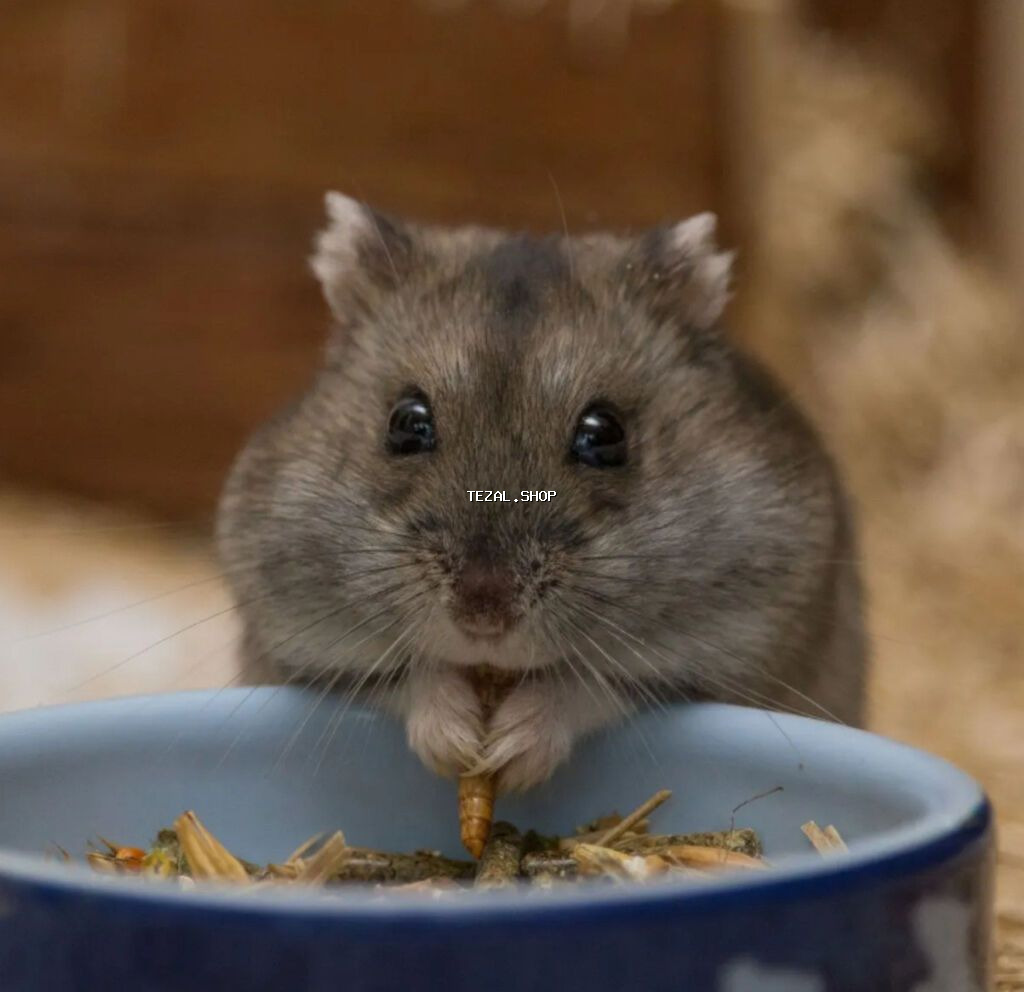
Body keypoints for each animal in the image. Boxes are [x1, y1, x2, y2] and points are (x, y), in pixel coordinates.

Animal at [216, 192, 867, 793]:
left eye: (604, 434)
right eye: (406, 423)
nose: (484, 614)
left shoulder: (735, 647)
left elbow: (591, 684)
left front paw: (508, 754)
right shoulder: (290, 644)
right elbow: (403, 677)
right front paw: (458, 747)